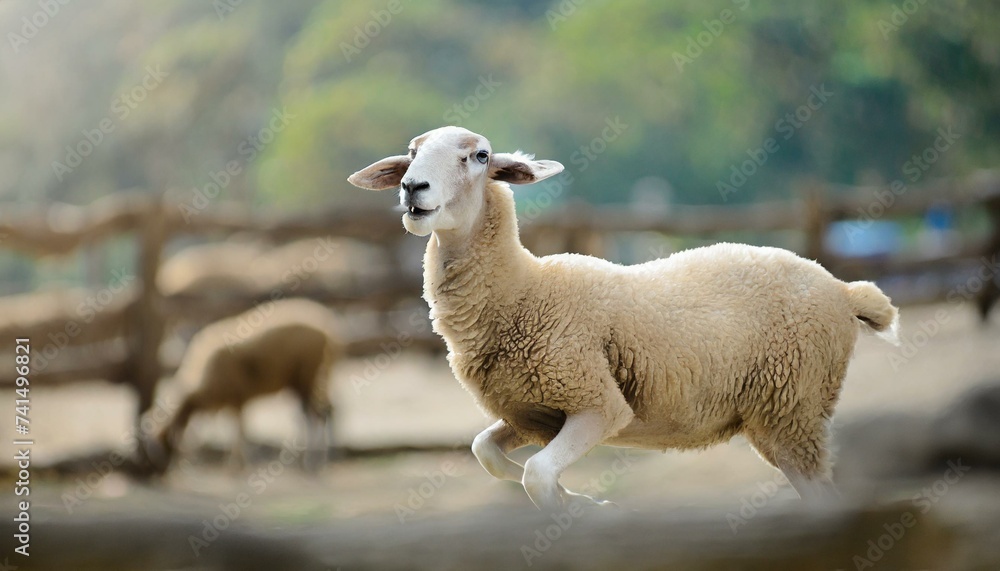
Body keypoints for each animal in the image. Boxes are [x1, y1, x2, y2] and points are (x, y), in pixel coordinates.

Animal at [153, 298, 344, 472]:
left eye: (157, 443)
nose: (159, 472)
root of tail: (328, 328)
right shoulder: (231, 400)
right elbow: (230, 430)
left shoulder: (236, 397)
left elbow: (238, 431)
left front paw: (238, 464)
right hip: (312, 378)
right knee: (325, 411)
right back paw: (321, 456)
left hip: (306, 375)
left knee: (314, 415)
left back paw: (311, 460)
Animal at [350, 125, 900, 510]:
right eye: (412, 151)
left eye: (480, 156)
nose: (412, 187)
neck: (524, 288)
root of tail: (844, 290)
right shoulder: (530, 412)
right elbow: (486, 452)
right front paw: (583, 501)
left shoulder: (599, 403)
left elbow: (536, 475)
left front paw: (579, 508)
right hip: (789, 413)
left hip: (793, 410)